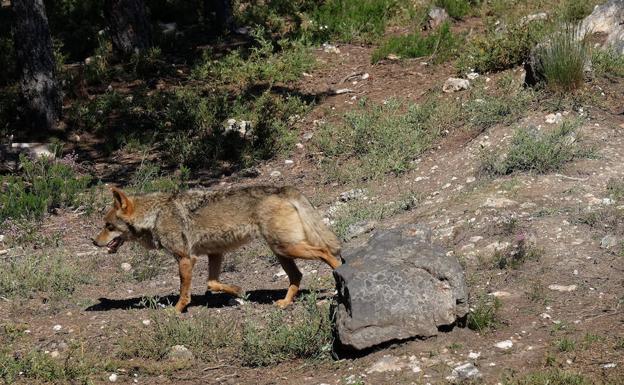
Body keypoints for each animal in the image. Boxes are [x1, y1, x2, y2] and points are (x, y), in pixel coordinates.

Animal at [92, 184, 342, 312]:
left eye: (108, 226)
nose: (94, 241)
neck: (156, 215)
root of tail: (284, 188)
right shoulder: (215, 254)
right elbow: (212, 283)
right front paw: (238, 290)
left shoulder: (186, 258)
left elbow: (184, 293)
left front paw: (176, 311)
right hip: (281, 251)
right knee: (297, 276)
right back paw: (285, 302)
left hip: (287, 248)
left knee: (326, 253)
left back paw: (340, 277)